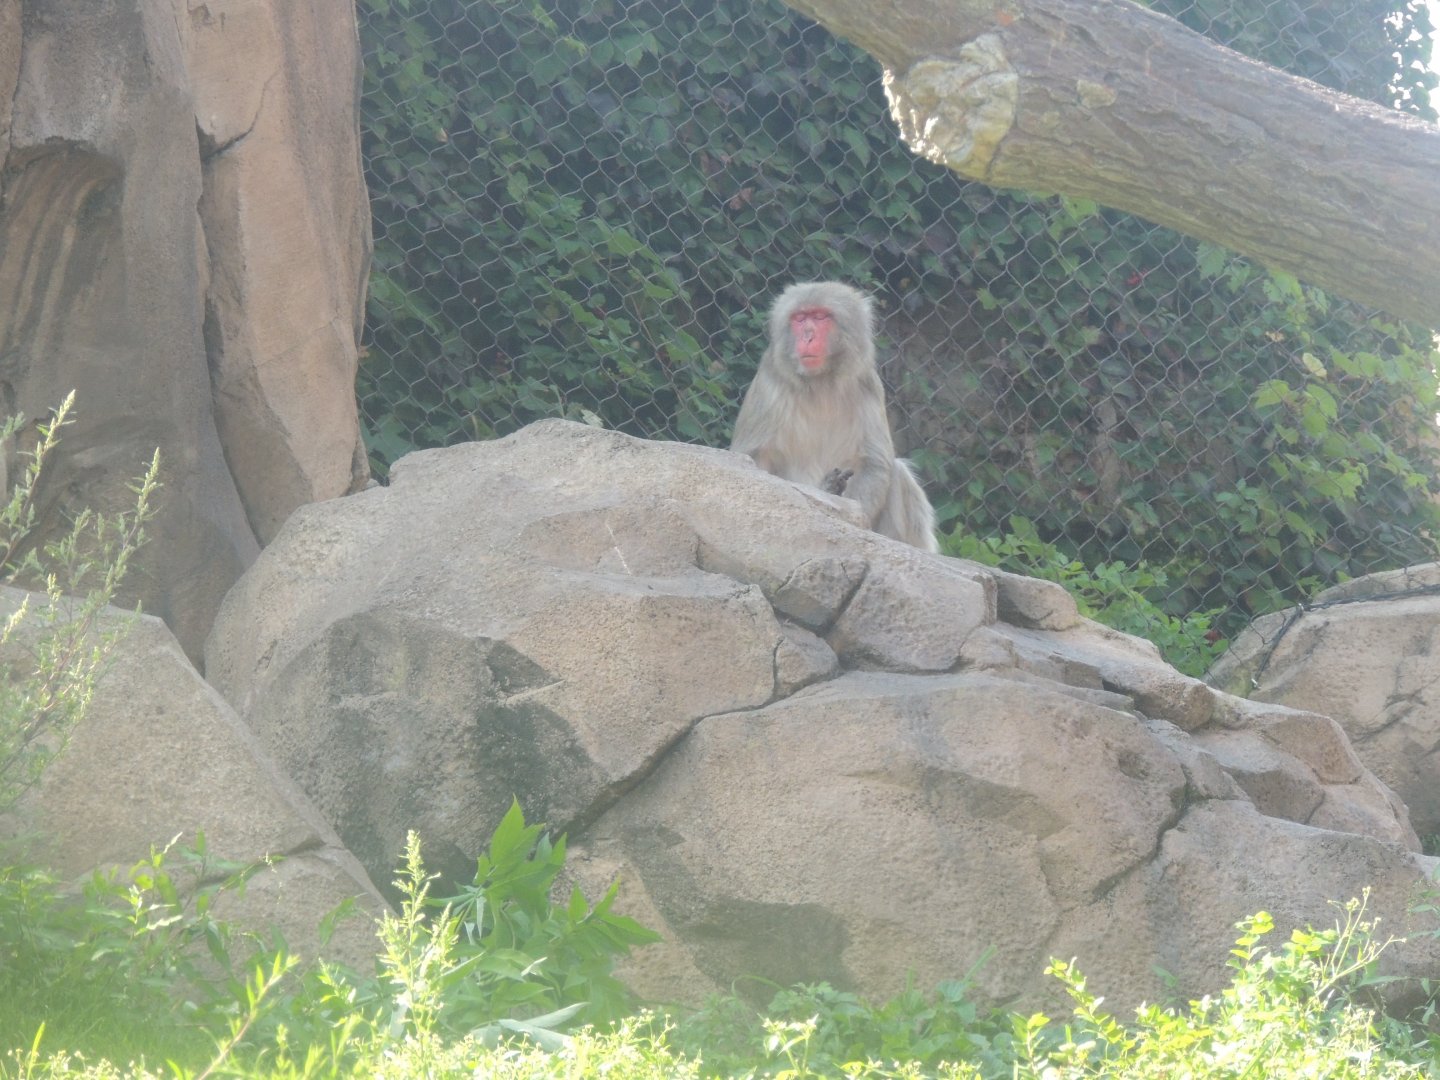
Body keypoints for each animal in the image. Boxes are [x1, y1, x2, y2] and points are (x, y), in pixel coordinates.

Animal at [731, 281, 939, 553]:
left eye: (820, 317)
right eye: (800, 319)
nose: (807, 336)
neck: (820, 381)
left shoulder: (867, 384)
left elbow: (875, 463)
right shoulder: (769, 384)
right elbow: (752, 460)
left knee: (897, 472)